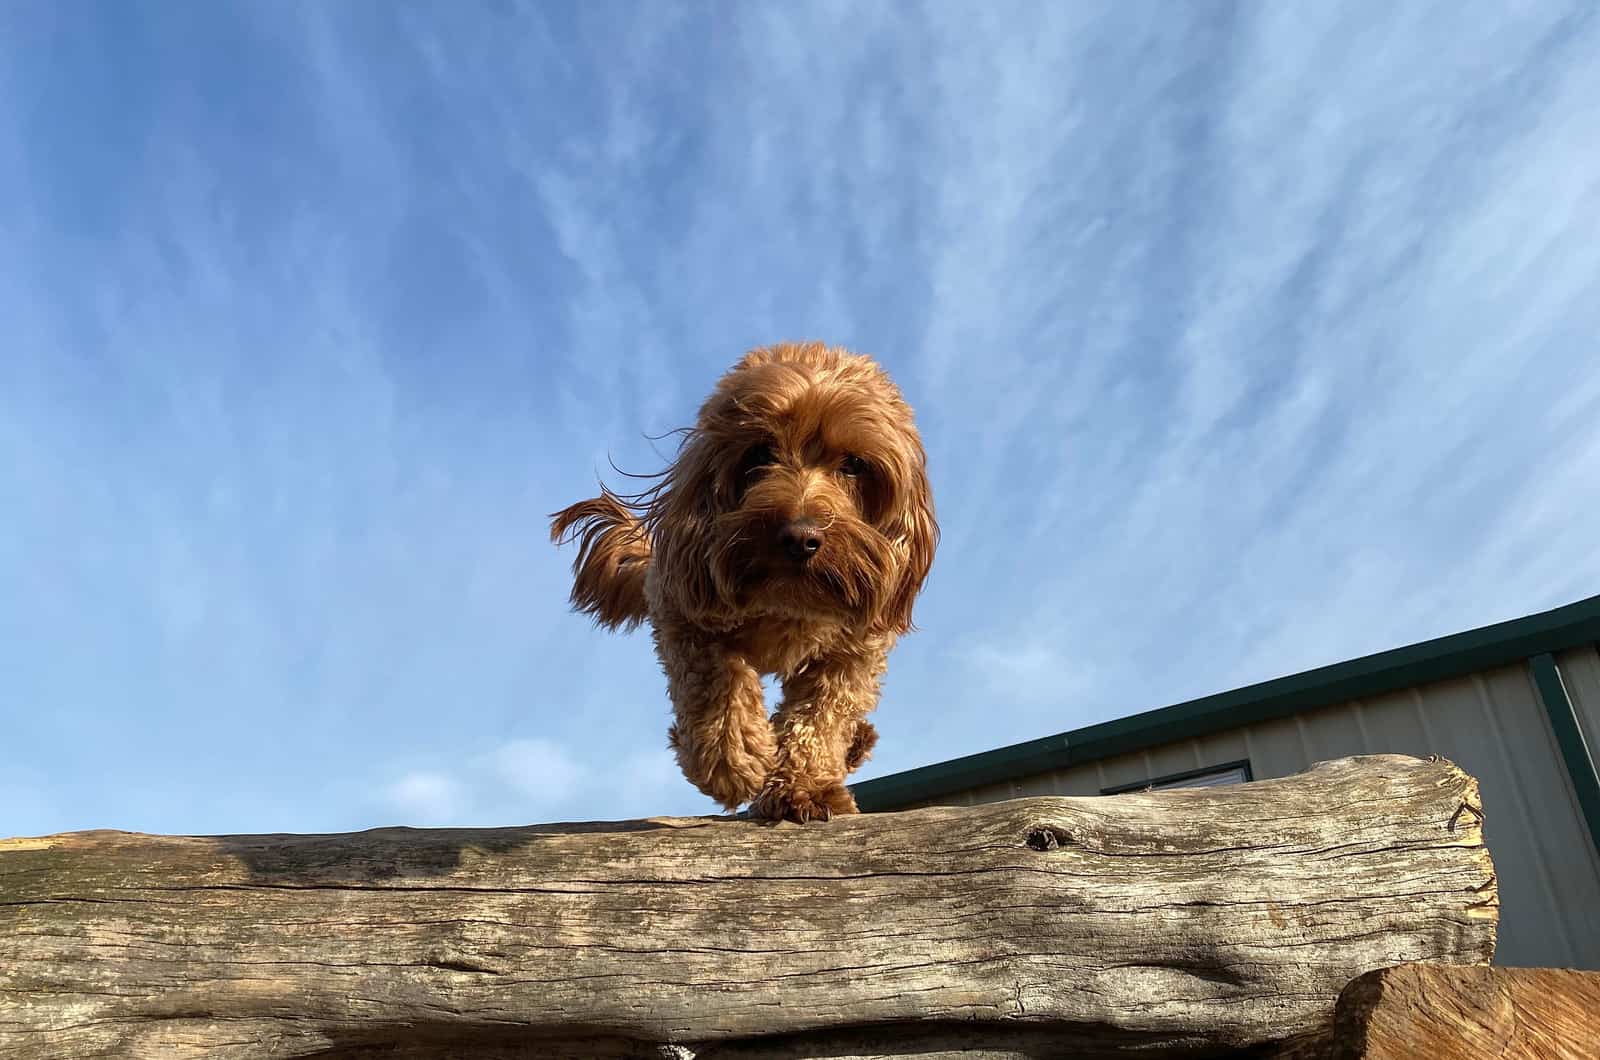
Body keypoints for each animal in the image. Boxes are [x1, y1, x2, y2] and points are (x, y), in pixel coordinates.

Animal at [547, 344, 934, 826]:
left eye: (853, 465)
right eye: (761, 453)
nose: (800, 537)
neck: (787, 602)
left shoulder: (856, 648)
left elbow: (821, 714)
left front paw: (804, 787)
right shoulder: (684, 611)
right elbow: (716, 681)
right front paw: (732, 762)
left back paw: (854, 743)